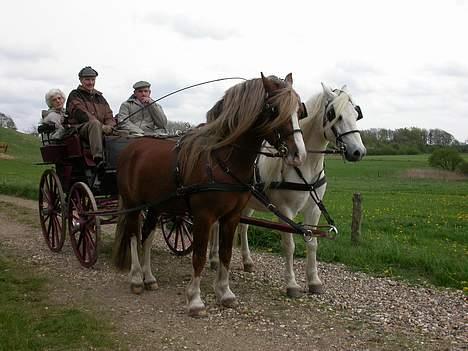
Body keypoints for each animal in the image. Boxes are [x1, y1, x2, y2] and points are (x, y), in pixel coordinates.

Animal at [114, 73, 308, 318]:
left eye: (299, 111)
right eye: (274, 110)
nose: (299, 155)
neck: (222, 160)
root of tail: (132, 147)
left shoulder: (232, 216)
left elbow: (225, 253)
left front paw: (225, 293)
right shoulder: (203, 217)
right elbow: (199, 256)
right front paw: (195, 300)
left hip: (156, 205)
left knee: (147, 237)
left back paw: (149, 278)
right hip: (134, 204)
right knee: (132, 236)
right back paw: (137, 278)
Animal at [210, 82, 368, 296]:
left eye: (356, 113)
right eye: (334, 114)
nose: (358, 152)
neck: (306, 165)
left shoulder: (314, 208)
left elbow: (312, 242)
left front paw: (314, 281)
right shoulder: (285, 210)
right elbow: (289, 245)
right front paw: (291, 284)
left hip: (249, 202)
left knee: (243, 227)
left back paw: (247, 261)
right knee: (216, 225)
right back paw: (214, 259)